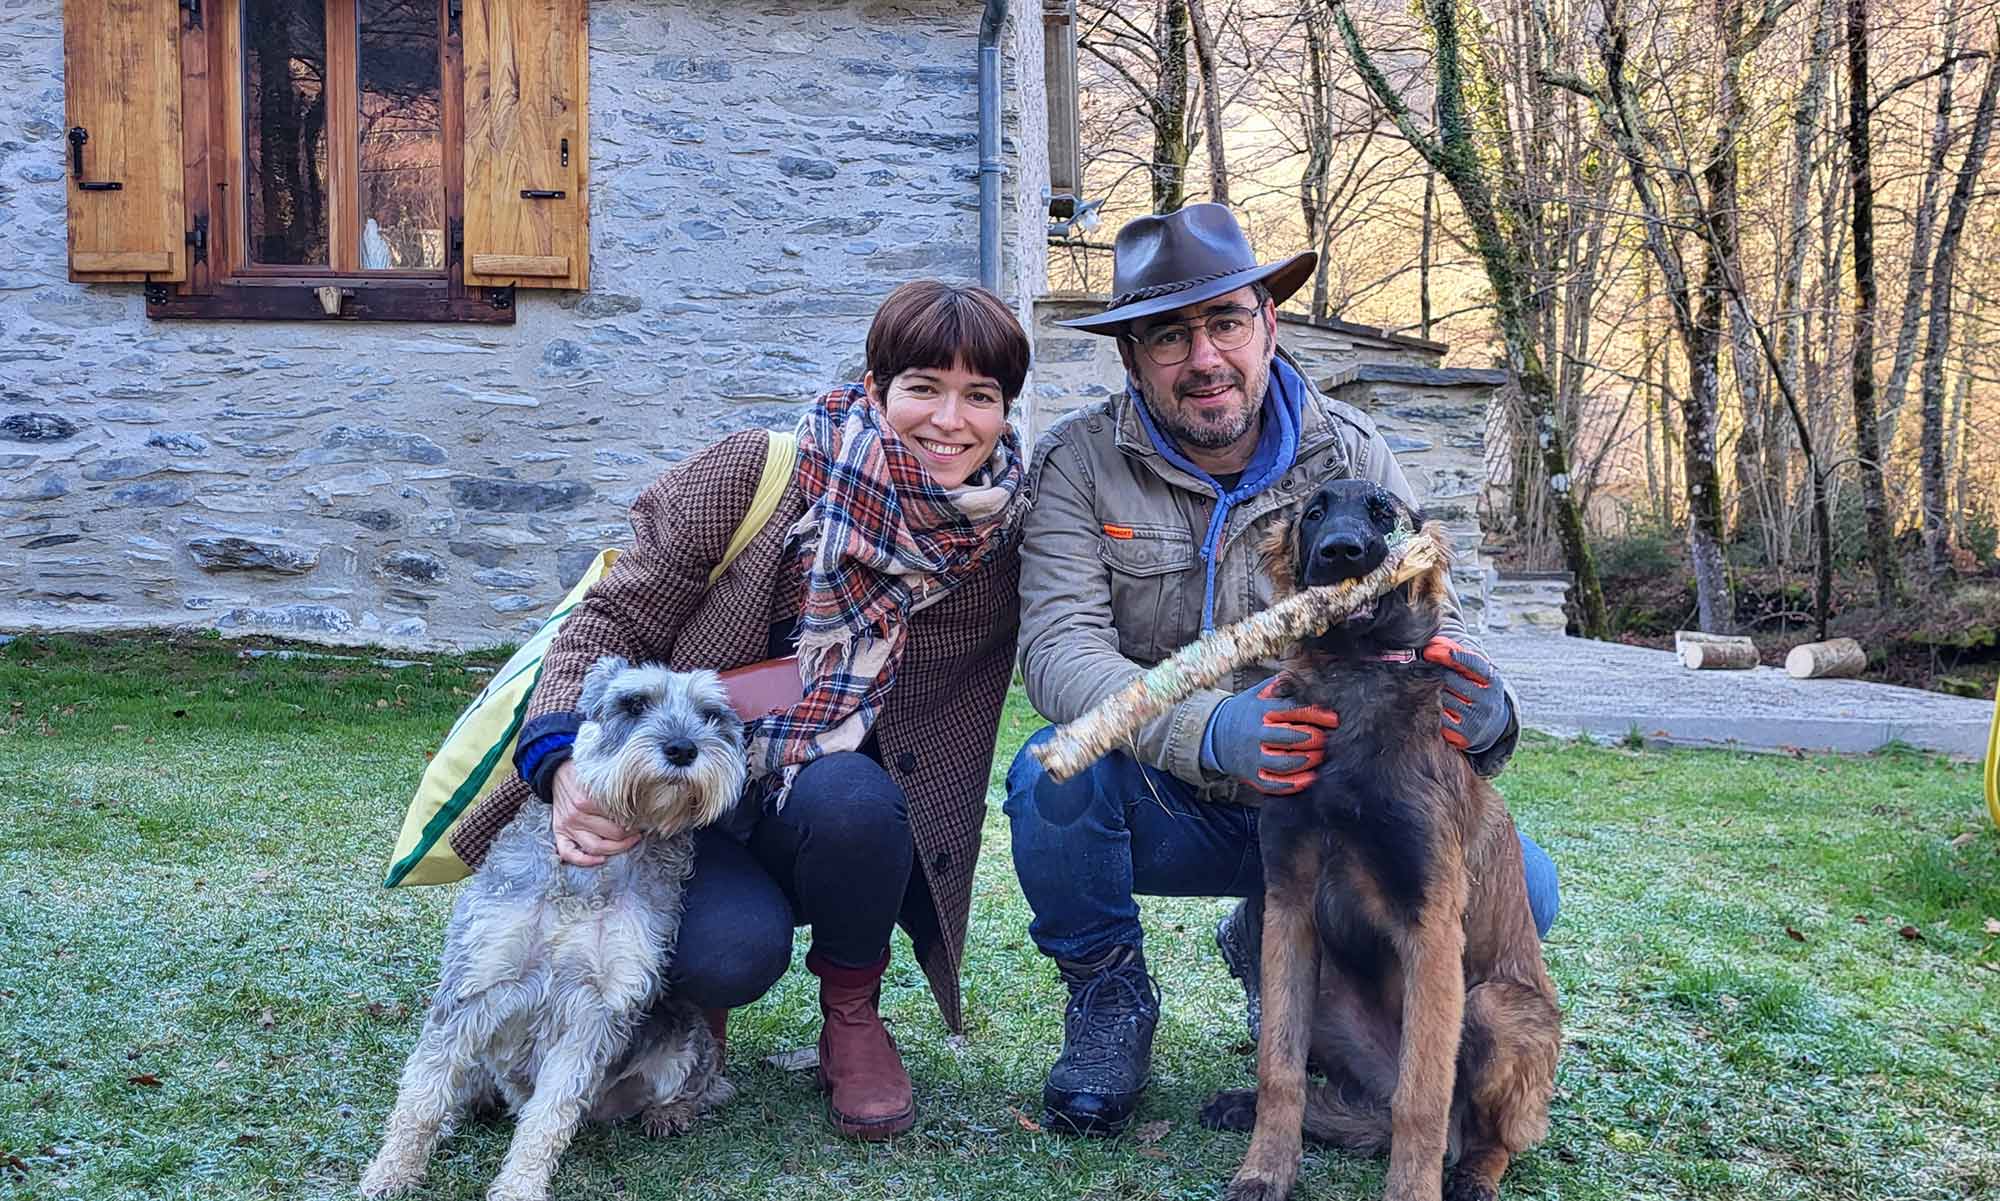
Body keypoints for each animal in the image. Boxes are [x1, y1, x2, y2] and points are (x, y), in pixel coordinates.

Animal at [364, 656, 748, 1201]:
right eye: (634, 704)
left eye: (712, 714)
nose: (682, 748)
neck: (592, 872)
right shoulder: (476, 984)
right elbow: (423, 1093)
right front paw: (391, 1171)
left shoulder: (598, 1008)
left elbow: (551, 1113)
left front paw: (520, 1186)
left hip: (683, 1042)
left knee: (704, 1085)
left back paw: (670, 1112)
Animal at [1200, 480, 1560, 1201]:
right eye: (1314, 512)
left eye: (1383, 513)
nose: (1341, 551)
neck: (1356, 670)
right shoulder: (1288, 910)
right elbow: (1279, 1068)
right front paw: (1265, 1168)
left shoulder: (1431, 927)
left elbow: (1420, 1100)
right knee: (1361, 1104)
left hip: (1494, 1007)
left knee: (1478, 1135)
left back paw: (1474, 1175)